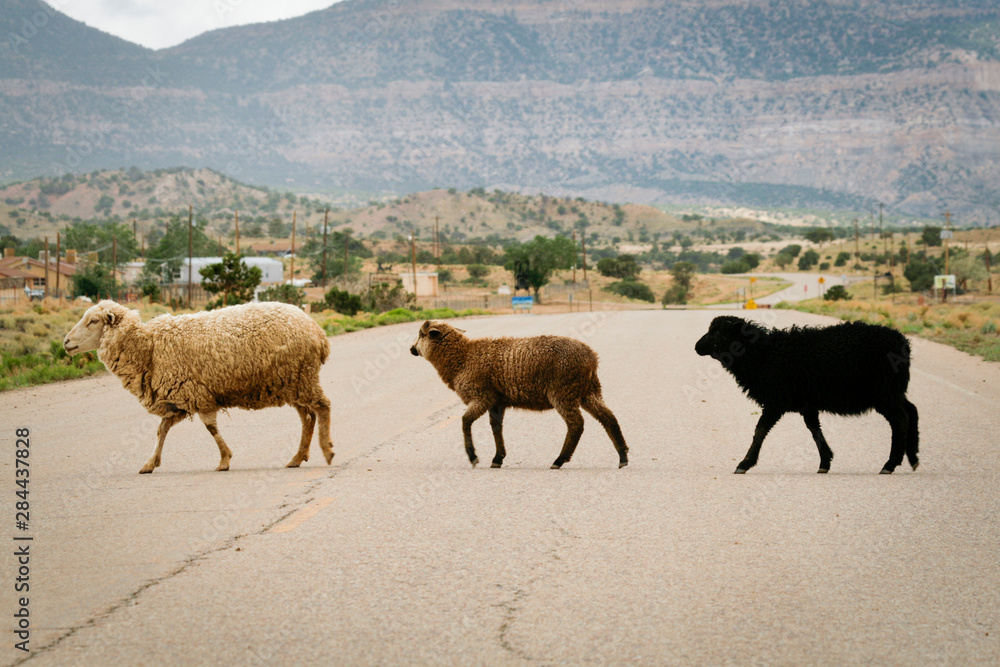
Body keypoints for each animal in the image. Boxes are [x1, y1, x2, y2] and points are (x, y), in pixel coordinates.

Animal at [63, 300, 333, 473]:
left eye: (93, 321)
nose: (65, 342)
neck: (148, 349)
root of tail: (318, 332)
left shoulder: (197, 394)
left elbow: (210, 428)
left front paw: (224, 460)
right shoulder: (177, 398)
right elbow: (161, 431)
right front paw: (150, 463)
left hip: (301, 377)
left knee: (322, 407)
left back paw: (326, 450)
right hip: (291, 382)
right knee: (307, 417)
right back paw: (297, 457)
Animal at [410, 320, 628, 469]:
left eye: (421, 334)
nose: (411, 349)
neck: (462, 358)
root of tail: (592, 358)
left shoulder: (482, 396)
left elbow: (465, 422)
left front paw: (473, 457)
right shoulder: (496, 401)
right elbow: (496, 428)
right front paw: (497, 459)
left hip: (564, 392)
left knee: (576, 424)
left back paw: (559, 460)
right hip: (589, 391)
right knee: (608, 418)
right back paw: (623, 457)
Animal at [694, 315, 919, 474]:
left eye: (717, 332)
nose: (697, 347)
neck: (763, 354)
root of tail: (903, 342)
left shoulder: (776, 401)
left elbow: (760, 430)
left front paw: (744, 463)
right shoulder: (807, 404)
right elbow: (814, 430)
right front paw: (825, 462)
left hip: (884, 392)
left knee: (900, 419)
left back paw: (890, 464)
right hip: (894, 391)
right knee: (912, 411)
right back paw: (913, 457)